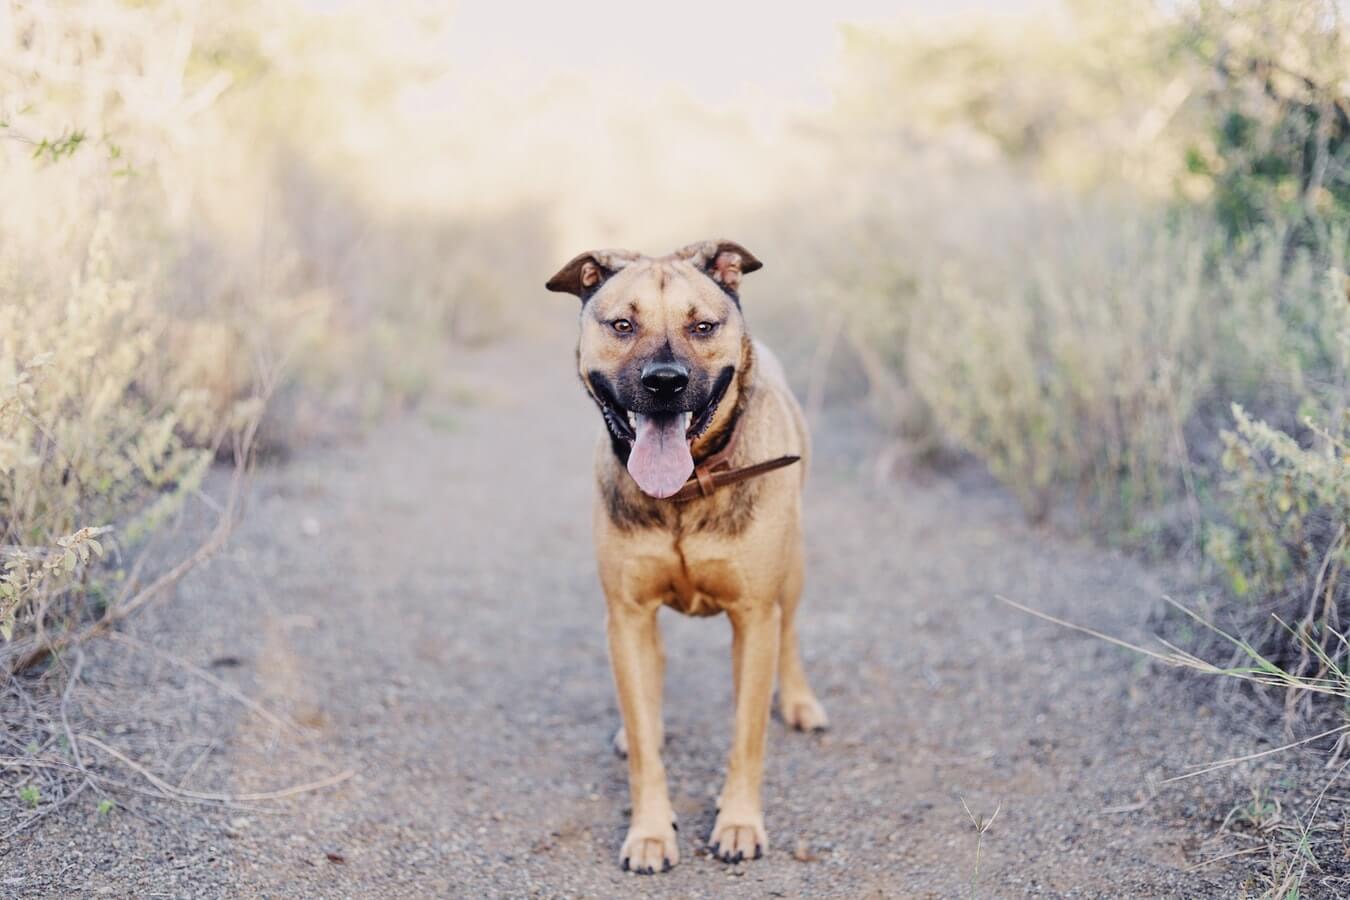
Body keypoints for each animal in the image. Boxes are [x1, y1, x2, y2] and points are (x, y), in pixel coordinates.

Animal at [545, 237, 820, 874]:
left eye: (703, 326)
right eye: (622, 324)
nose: (665, 381)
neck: (688, 488)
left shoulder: (753, 616)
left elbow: (746, 735)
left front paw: (738, 823)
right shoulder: (626, 613)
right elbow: (647, 743)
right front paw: (649, 832)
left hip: (792, 571)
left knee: (791, 631)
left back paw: (799, 700)